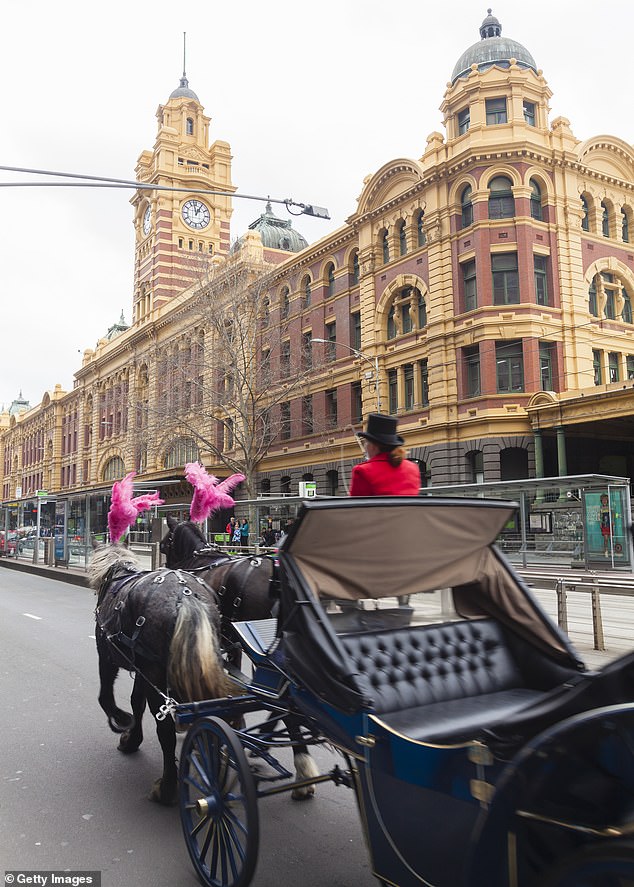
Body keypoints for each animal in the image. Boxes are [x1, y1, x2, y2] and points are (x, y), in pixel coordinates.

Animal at [86, 544, 230, 808]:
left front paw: (122, 721)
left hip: (154, 672)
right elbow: (136, 701)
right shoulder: (142, 670)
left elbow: (106, 697)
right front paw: (132, 739)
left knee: (165, 732)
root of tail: (185, 597)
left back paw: (167, 788)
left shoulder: (107, 656)